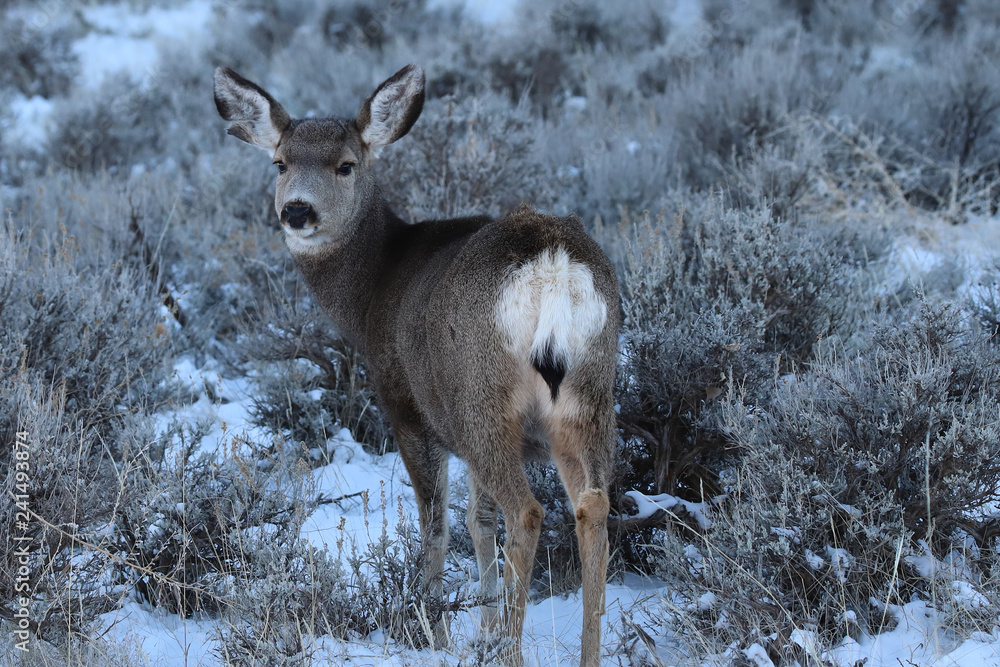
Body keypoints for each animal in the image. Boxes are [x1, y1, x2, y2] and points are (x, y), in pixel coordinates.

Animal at [214, 64, 619, 667]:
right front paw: (481, 625)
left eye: (346, 164)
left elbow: (436, 524)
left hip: (482, 400)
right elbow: (477, 521)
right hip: (589, 393)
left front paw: (437, 630)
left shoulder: (406, 407)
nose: (297, 211)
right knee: (591, 504)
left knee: (526, 512)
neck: (375, 288)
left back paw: (511, 649)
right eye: (280, 162)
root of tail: (550, 266)